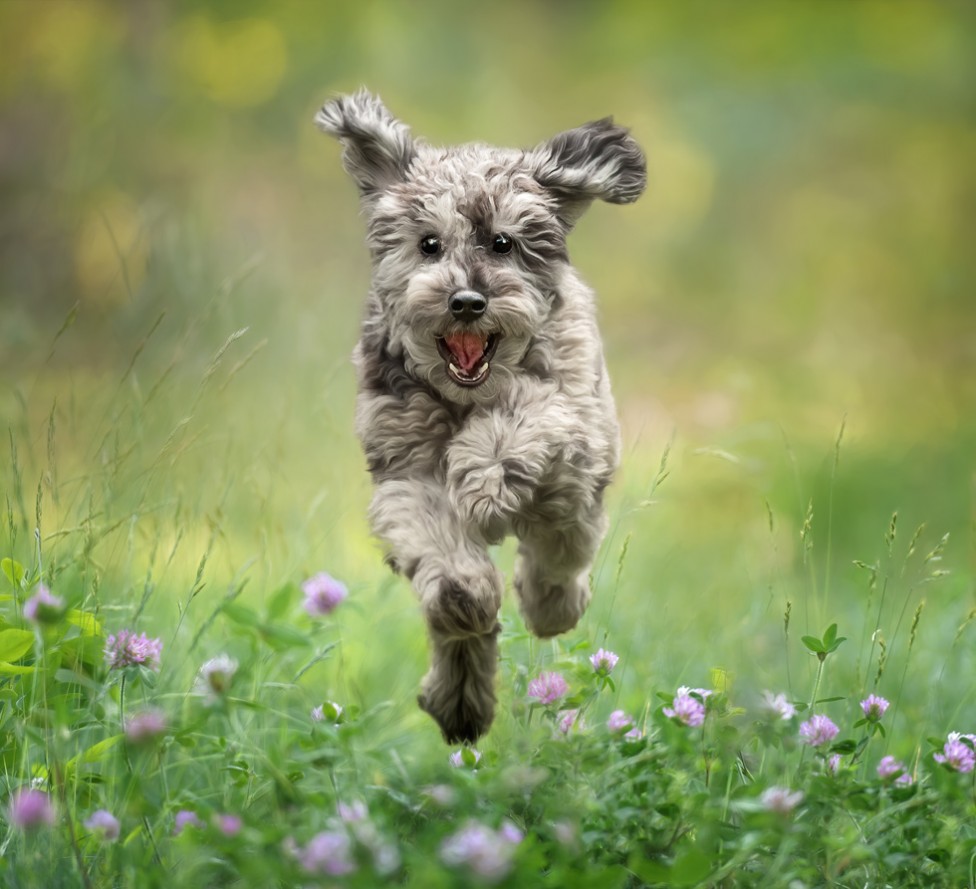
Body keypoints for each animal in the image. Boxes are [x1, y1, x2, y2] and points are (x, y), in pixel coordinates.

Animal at [316, 90, 644, 744]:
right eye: (428, 244)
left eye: (503, 243)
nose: (467, 301)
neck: (467, 396)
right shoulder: (406, 473)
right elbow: (443, 552)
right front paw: (465, 591)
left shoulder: (570, 413)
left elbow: (528, 415)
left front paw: (484, 477)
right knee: (467, 627)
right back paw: (460, 698)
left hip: (579, 482)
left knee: (563, 546)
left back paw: (550, 604)